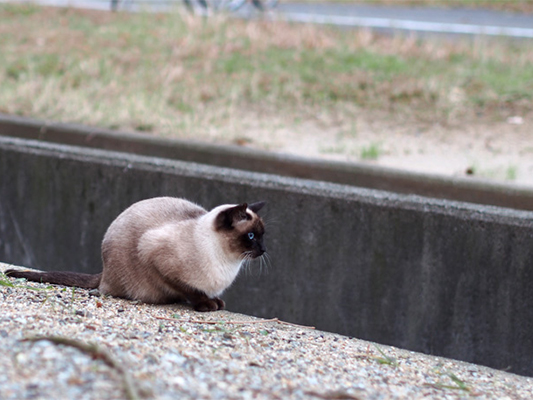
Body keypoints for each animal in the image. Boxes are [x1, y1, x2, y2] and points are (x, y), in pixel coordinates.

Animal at [5, 197, 266, 312]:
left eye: (263, 236)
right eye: (251, 236)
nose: (264, 250)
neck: (228, 263)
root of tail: (104, 273)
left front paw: (217, 302)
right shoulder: (155, 256)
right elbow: (190, 291)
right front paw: (206, 304)